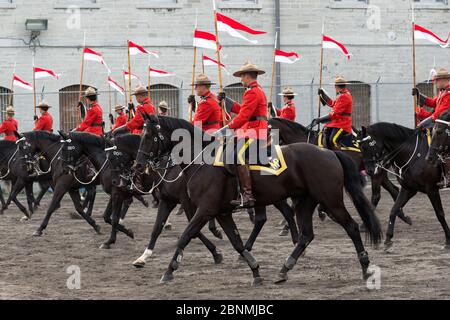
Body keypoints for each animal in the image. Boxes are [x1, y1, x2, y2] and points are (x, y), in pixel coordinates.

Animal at [135, 116, 382, 286]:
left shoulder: (204, 210)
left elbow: (185, 236)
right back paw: (284, 269)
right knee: (306, 235)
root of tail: (329, 153)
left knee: (351, 227)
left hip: (331, 201)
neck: (202, 162)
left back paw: (366, 268)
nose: (138, 165)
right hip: (304, 202)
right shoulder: (221, 212)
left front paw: (169, 271)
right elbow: (236, 242)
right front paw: (255, 271)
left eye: (148, 136)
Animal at [358, 122, 450, 250]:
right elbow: (394, 209)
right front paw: (388, 239)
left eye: (367, 146)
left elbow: (440, 214)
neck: (414, 154)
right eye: (360, 147)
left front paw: (448, 240)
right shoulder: (408, 189)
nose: (369, 171)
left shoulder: (432, 189)